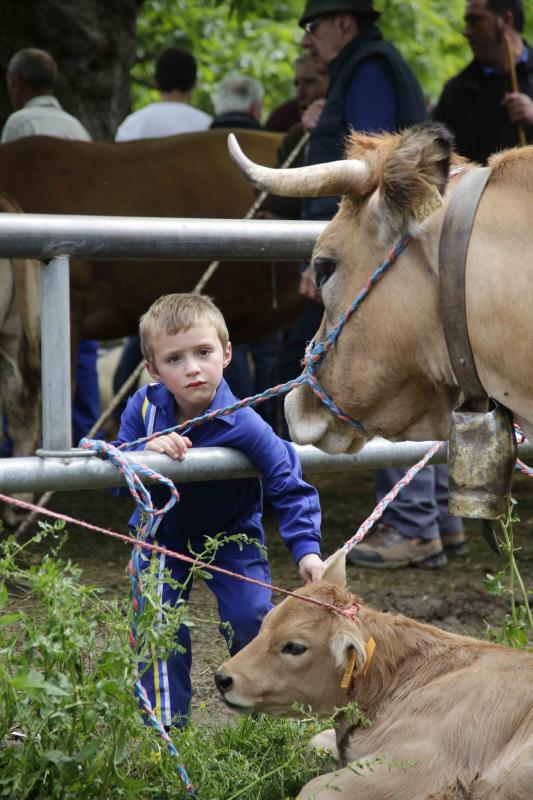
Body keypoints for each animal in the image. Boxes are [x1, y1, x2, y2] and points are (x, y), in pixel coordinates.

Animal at [214, 552, 532, 800]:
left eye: (294, 646)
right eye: (265, 623)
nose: (222, 678)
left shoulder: (423, 765)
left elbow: (312, 789)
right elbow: (314, 742)